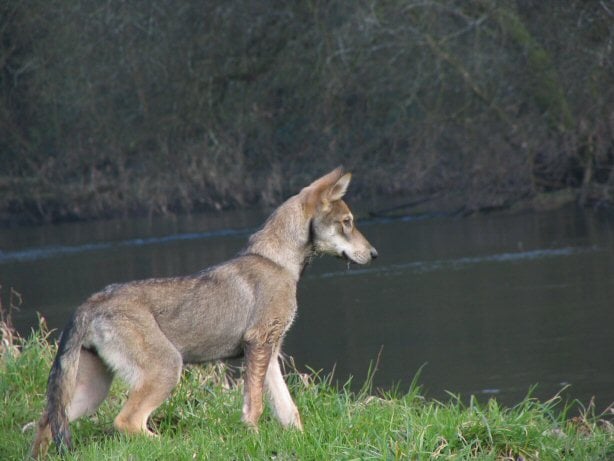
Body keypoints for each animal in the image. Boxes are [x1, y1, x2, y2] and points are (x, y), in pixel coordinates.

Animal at [31, 167, 378, 454]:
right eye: (347, 223)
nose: (374, 254)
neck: (278, 263)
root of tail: (90, 303)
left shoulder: (271, 353)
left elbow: (288, 411)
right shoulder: (258, 344)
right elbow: (254, 408)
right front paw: (253, 439)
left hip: (91, 392)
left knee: (45, 423)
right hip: (166, 369)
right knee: (127, 423)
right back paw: (175, 444)